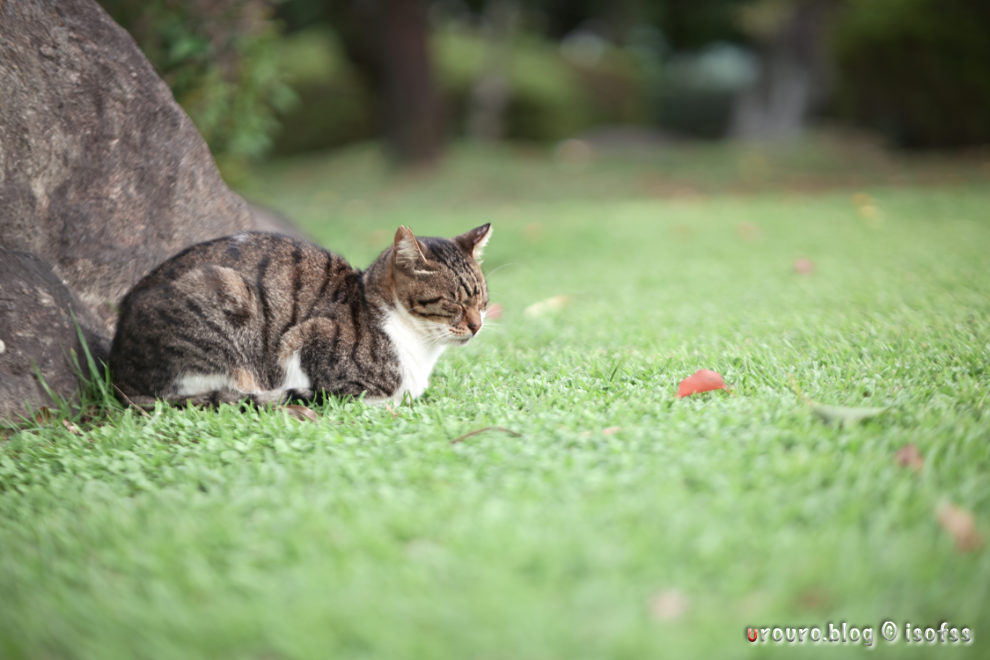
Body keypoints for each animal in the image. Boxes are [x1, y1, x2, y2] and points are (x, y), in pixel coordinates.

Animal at [108, 224, 492, 404]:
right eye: (454, 302)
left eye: (482, 301)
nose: (476, 326)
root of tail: (118, 371)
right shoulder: (301, 341)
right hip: (225, 294)